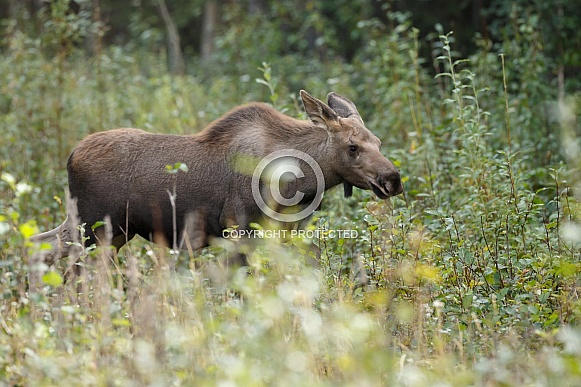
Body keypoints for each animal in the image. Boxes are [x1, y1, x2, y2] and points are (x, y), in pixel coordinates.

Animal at [31, 91, 402, 266]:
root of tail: (70, 157)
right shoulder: (238, 226)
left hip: (112, 231)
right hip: (92, 226)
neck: (300, 182)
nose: (393, 179)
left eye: (379, 142)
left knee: (40, 247)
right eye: (353, 146)